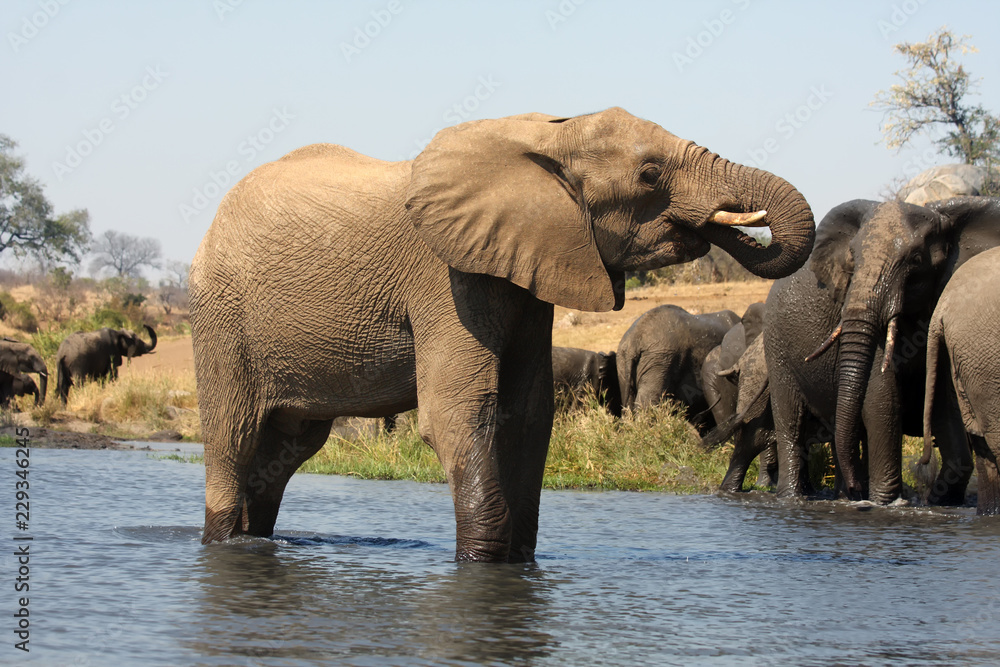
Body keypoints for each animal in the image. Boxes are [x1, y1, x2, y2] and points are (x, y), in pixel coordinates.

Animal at [189, 107, 816, 562]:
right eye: (649, 175)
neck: (550, 137)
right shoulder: (447, 277)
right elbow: (459, 410)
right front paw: (482, 565)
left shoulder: (531, 271)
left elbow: (530, 413)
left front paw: (516, 563)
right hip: (222, 318)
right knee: (234, 437)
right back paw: (224, 543)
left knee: (286, 450)